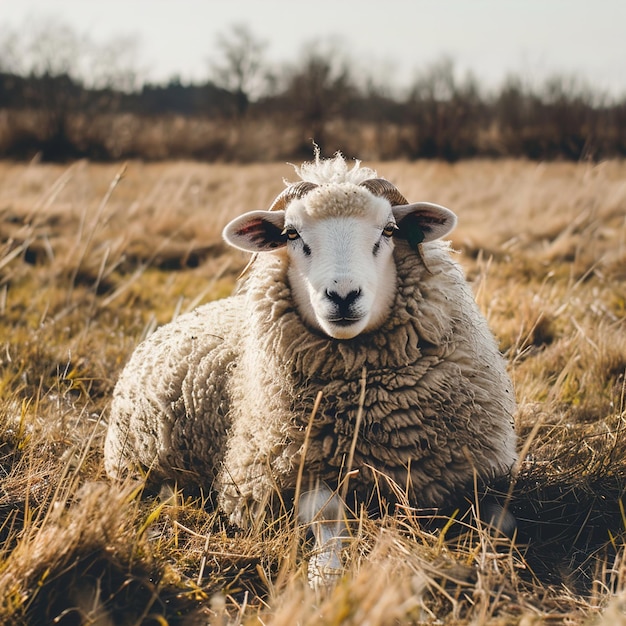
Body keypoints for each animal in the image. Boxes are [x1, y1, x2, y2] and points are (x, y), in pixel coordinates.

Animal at [103, 154, 516, 584]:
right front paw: (324, 575)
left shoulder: (475, 473)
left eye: (389, 230)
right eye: (290, 233)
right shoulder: (282, 476)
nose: (343, 295)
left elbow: (499, 521)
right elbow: (326, 514)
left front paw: (491, 564)